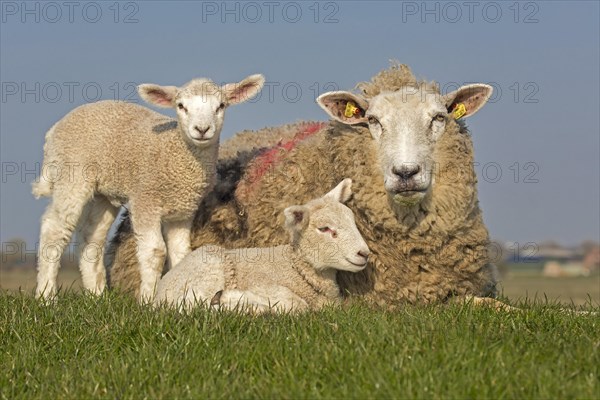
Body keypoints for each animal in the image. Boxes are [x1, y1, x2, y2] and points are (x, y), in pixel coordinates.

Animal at [33, 74, 264, 300]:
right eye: (181, 106)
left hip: (103, 193)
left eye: (221, 106)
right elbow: (155, 252)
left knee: (90, 237)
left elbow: (181, 253)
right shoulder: (145, 200)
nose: (202, 129)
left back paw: (97, 296)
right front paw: (148, 301)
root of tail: (54, 129)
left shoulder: (183, 212)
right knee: (54, 230)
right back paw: (47, 296)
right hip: (71, 175)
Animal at [154, 178, 370, 312]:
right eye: (324, 229)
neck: (296, 267)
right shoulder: (266, 284)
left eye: (352, 220)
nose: (364, 253)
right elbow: (297, 304)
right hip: (209, 270)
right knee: (195, 306)